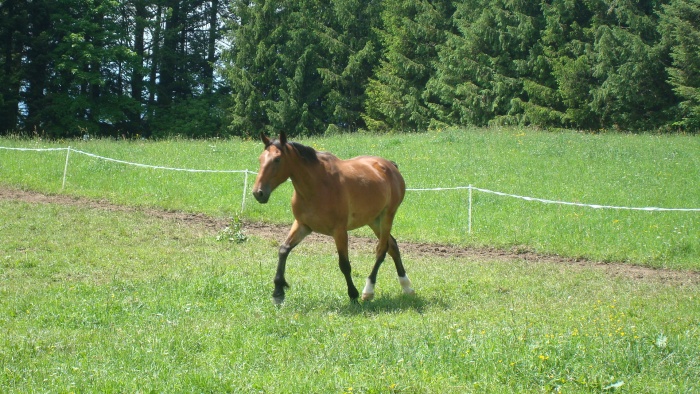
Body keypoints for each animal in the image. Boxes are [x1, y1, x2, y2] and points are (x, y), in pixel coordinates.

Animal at [252, 132, 416, 304]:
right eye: (260, 159)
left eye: (277, 159)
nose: (258, 193)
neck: (317, 186)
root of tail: (390, 166)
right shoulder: (302, 225)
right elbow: (283, 250)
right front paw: (278, 291)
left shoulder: (339, 231)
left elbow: (344, 264)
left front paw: (353, 294)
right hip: (373, 220)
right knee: (393, 246)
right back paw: (407, 287)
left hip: (387, 216)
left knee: (382, 250)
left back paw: (368, 290)